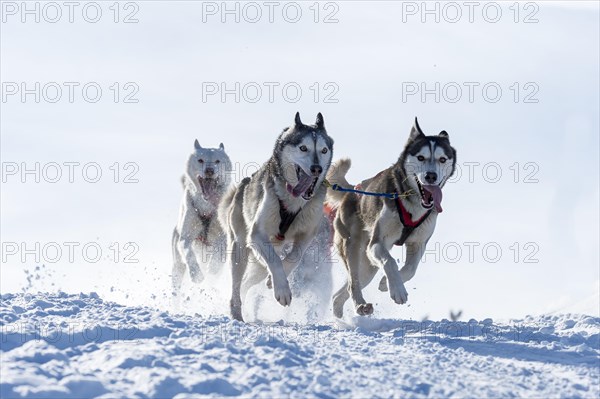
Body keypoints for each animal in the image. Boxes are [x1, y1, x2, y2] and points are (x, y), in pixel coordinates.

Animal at [172, 140, 233, 294]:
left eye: (217, 161)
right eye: (200, 160)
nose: (209, 171)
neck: (206, 207)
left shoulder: (223, 237)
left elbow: (218, 251)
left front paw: (212, 267)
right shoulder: (185, 237)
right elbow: (188, 251)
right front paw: (196, 274)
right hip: (177, 267)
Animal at [219, 111, 336, 322]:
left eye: (323, 150)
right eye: (303, 148)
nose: (316, 169)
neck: (293, 202)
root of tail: (243, 184)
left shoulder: (307, 235)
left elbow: (294, 257)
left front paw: (273, 281)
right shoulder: (257, 235)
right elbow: (275, 261)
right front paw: (282, 289)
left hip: (258, 262)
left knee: (247, 282)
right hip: (240, 249)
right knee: (236, 285)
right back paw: (236, 311)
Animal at [326, 118, 458, 318]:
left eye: (442, 159)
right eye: (421, 157)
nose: (431, 176)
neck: (412, 204)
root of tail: (352, 191)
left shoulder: (418, 244)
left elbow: (411, 269)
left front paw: (385, 283)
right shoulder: (377, 243)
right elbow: (390, 262)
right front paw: (397, 289)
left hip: (368, 266)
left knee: (340, 293)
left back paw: (341, 313)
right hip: (353, 247)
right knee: (352, 283)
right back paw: (360, 304)